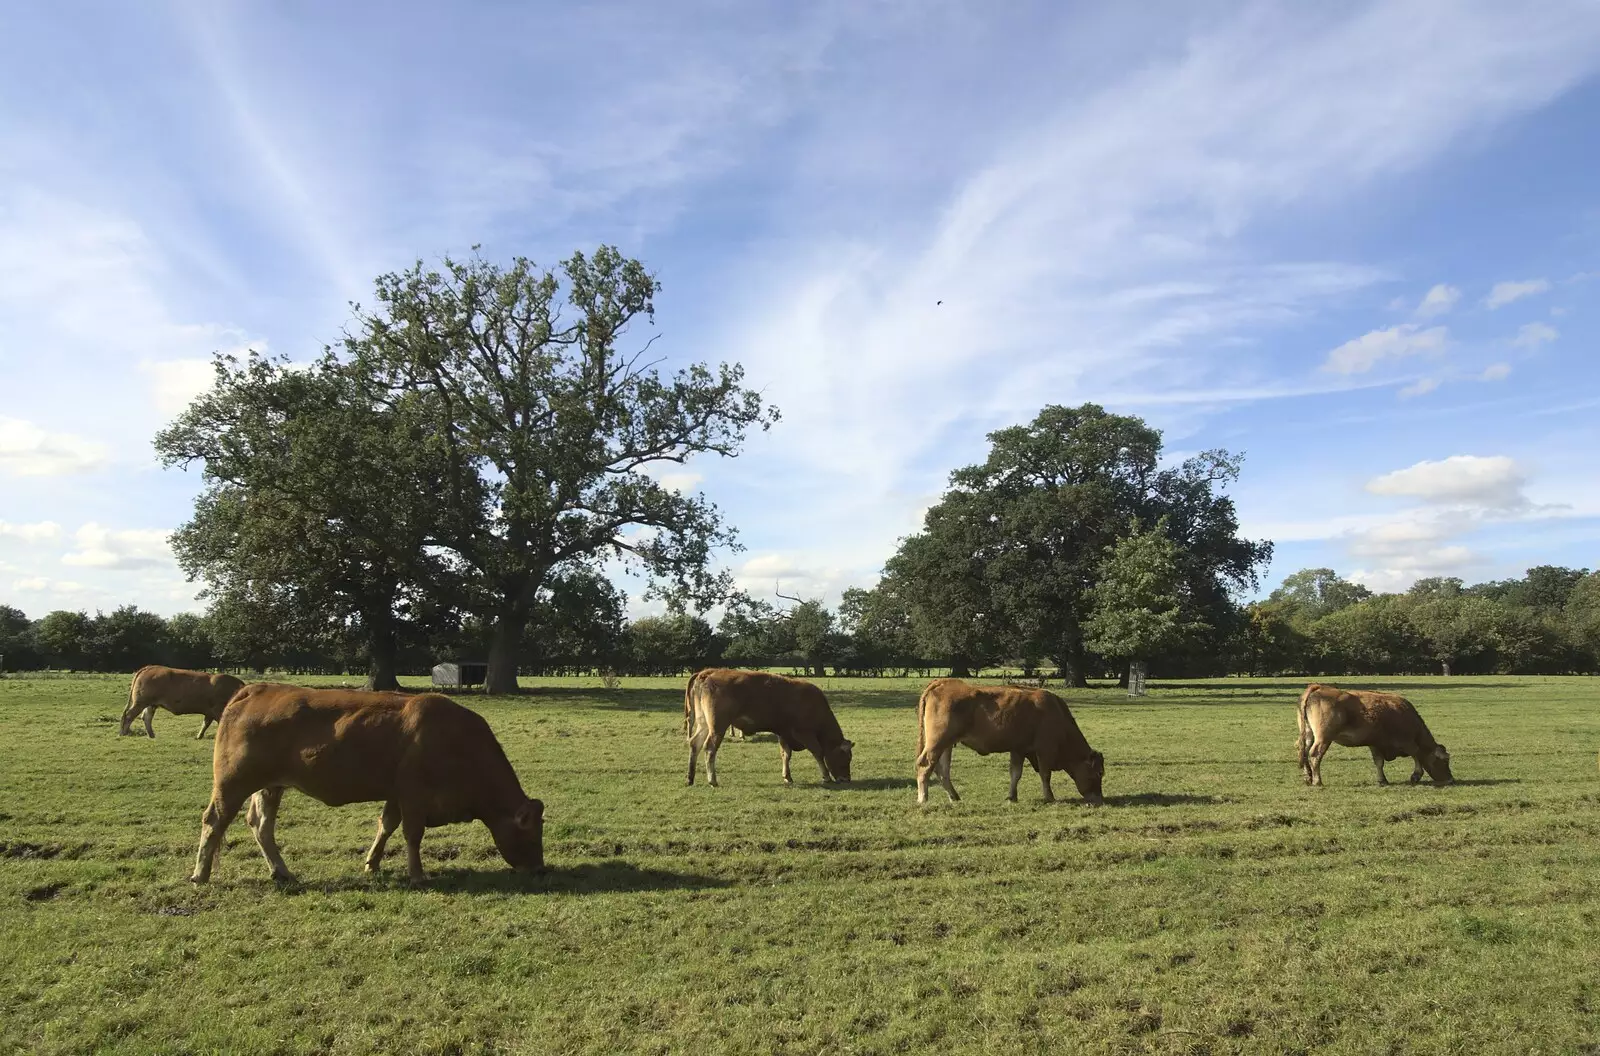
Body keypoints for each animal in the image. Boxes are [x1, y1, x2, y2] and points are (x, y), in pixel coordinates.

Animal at [189, 681, 544, 889]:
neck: (457, 744)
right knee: (214, 821)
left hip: (269, 786)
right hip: (232, 784)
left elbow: (386, 826)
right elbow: (412, 834)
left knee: (260, 825)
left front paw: (372, 863)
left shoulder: (396, 794)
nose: (539, 869)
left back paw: (282, 871)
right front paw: (417, 874)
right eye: (530, 833)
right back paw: (200, 874)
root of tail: (254, 689)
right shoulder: (414, 795)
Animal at [691, 668, 857, 784]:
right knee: (710, 748)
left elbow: (786, 754)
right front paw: (825, 776)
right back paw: (712, 780)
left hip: (704, 724)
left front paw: (787, 776)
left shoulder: (784, 733)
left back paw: (690, 778)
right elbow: (818, 753)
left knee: (694, 743)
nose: (846, 779)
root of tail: (709, 674)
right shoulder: (804, 733)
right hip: (717, 728)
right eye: (846, 757)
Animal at [915, 681, 1100, 803]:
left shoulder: (1019, 749)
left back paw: (954, 797)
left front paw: (1012, 796)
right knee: (925, 765)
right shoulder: (1044, 750)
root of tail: (943, 682)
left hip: (946, 745)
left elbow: (1015, 774)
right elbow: (1045, 775)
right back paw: (923, 799)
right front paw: (1050, 797)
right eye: (1098, 773)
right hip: (938, 742)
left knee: (942, 771)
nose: (1099, 798)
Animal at [1299, 681, 1452, 787]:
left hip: (1308, 735)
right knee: (1315, 754)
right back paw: (1317, 781)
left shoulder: (1375, 743)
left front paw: (1382, 780)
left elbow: (1379, 762)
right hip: (1324, 738)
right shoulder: (1407, 742)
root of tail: (1319, 687)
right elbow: (1417, 754)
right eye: (1445, 761)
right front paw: (1416, 775)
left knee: (1305, 752)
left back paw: (1308, 778)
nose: (1450, 779)